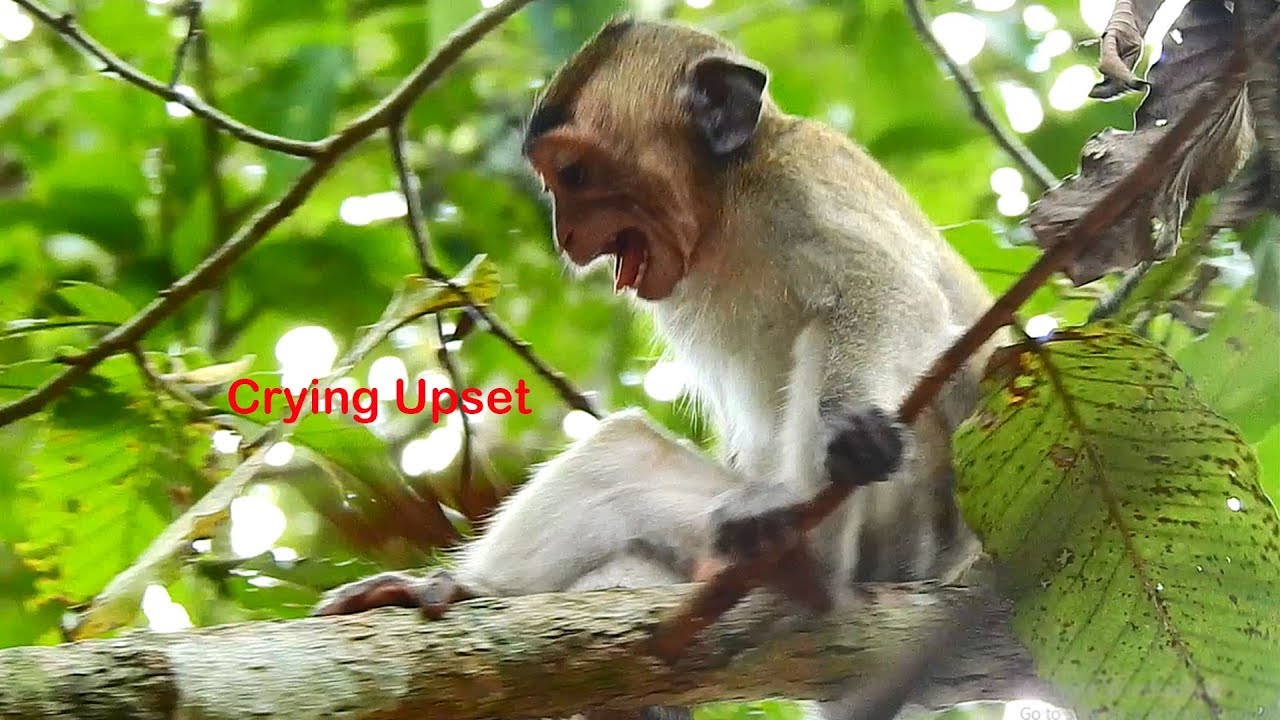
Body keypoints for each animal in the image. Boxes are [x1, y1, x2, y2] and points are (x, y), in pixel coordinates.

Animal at [314, 17, 999, 720]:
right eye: (555, 182)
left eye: (575, 174)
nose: (564, 236)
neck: (727, 202)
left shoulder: (806, 179)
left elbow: (886, 292)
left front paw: (848, 428)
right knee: (622, 456)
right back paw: (469, 592)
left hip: (912, 527)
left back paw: (809, 554)